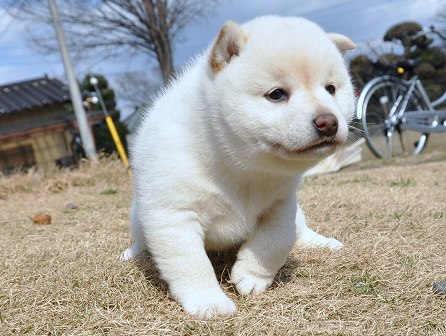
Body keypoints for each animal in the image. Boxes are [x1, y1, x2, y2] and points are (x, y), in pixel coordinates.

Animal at [121, 15, 356, 318]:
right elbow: (190, 263)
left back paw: (324, 242)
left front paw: (252, 275)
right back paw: (133, 252)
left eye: (331, 89)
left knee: (300, 230)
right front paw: (208, 301)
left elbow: (277, 239)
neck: (242, 168)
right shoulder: (173, 214)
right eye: (277, 94)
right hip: (139, 217)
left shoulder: (281, 204)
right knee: (143, 240)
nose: (328, 122)